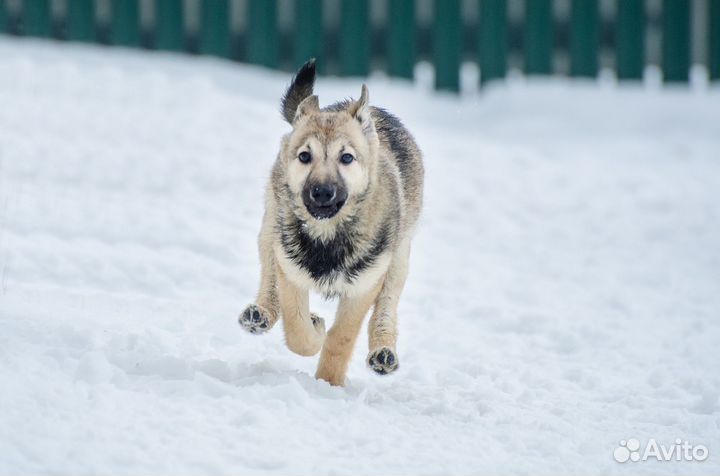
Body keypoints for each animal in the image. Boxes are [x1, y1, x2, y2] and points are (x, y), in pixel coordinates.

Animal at [239, 59, 424, 386]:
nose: (322, 192)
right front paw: (315, 329)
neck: (328, 234)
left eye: (347, 157)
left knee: (387, 308)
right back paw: (260, 313)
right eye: (304, 156)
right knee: (269, 281)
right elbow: (297, 329)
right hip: (270, 230)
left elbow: (341, 338)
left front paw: (328, 383)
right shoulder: (290, 271)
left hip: (398, 258)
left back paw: (383, 351)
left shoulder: (364, 286)